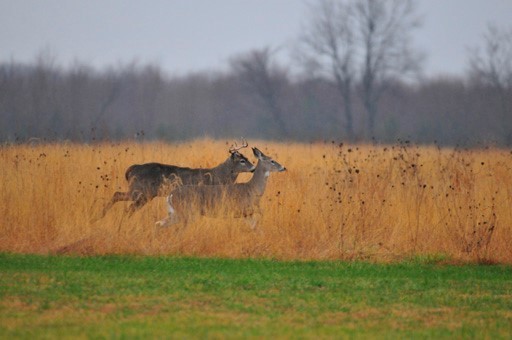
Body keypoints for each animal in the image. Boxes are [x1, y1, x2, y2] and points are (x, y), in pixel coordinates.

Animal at [99, 139, 255, 216]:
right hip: (141, 190)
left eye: (248, 158)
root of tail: (130, 170)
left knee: (126, 204)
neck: (219, 175)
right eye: (242, 160)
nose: (253, 168)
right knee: (119, 197)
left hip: (143, 193)